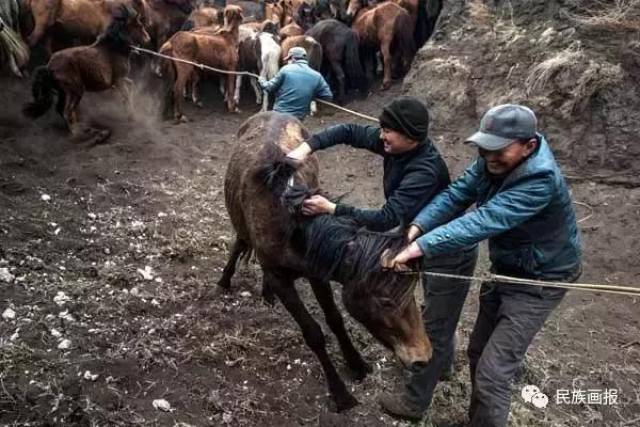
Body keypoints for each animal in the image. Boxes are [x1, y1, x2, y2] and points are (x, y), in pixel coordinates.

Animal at [21, 4, 151, 144]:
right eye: (139, 26)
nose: (148, 38)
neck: (114, 48)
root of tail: (49, 67)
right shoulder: (118, 80)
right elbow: (126, 94)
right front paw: (132, 116)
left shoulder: (119, 80)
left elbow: (131, 85)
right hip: (76, 90)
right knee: (68, 112)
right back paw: (84, 135)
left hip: (64, 92)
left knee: (61, 109)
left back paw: (88, 131)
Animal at [220, 112, 430, 412]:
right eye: (386, 302)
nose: (423, 356)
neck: (290, 225)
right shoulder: (282, 279)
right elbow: (314, 333)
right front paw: (341, 393)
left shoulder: (317, 273)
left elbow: (335, 319)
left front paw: (357, 364)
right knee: (240, 241)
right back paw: (225, 280)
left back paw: (265, 293)